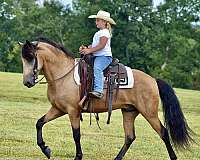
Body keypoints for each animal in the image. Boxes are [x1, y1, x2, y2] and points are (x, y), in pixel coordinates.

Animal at [19, 37, 193, 160]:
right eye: (23, 58)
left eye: (31, 57)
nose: (27, 82)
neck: (63, 74)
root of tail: (153, 80)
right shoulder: (58, 109)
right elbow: (39, 123)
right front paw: (46, 149)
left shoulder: (73, 111)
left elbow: (76, 135)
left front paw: (78, 156)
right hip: (129, 112)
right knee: (130, 137)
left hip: (149, 113)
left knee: (163, 132)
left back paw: (173, 156)